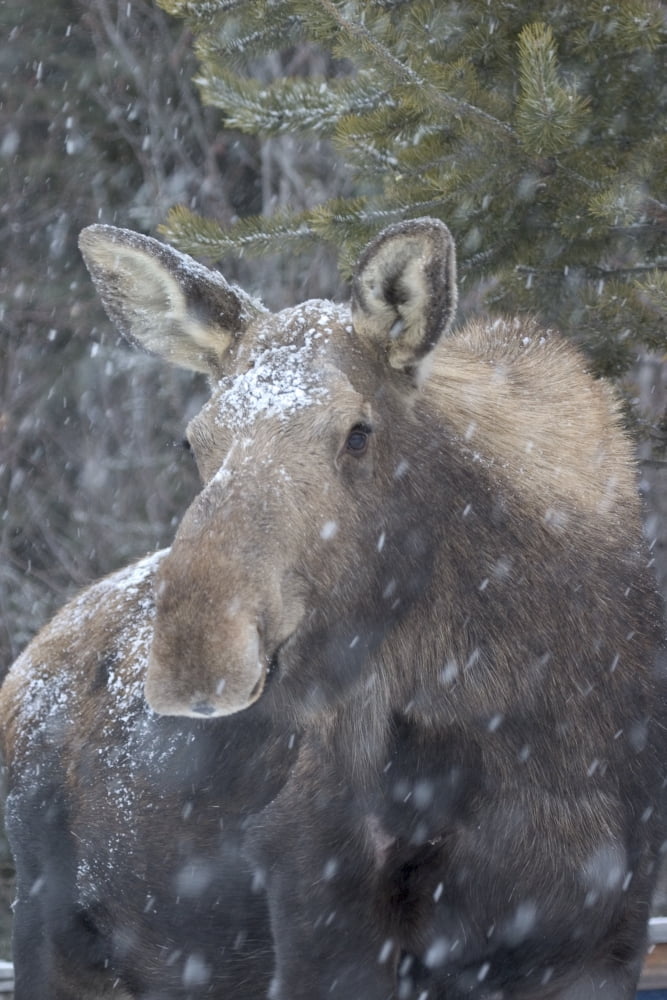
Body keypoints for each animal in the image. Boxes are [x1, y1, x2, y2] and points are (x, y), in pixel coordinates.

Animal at [1, 217, 665, 1000]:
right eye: (195, 438)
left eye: (357, 432)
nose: (197, 654)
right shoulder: (321, 905)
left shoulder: (604, 932)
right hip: (52, 928)